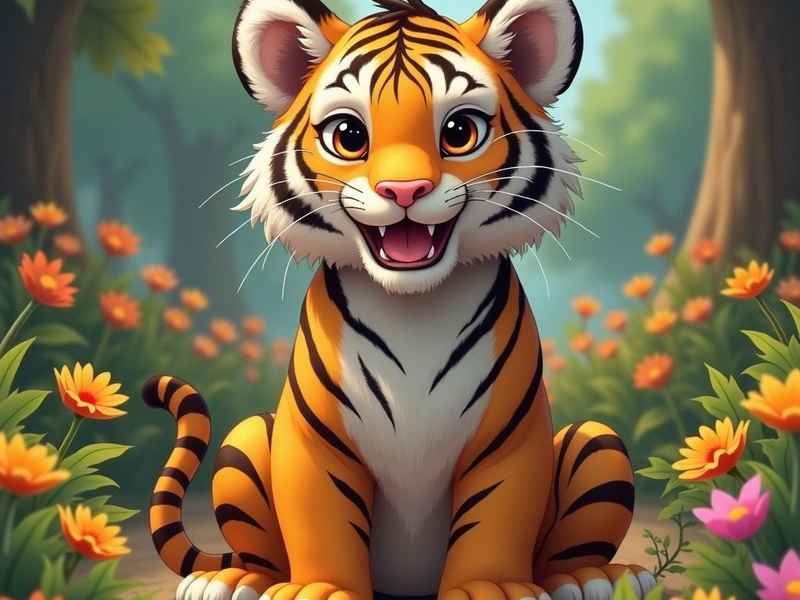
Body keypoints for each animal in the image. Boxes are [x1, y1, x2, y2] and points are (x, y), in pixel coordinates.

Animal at [142, 0, 656, 599]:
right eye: (348, 135)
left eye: (459, 131)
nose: (404, 191)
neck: (415, 309)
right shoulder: (315, 441)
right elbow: (318, 513)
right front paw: (321, 589)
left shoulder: (509, 439)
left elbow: (497, 515)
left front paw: (488, 587)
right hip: (247, 437)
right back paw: (237, 580)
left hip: (598, 443)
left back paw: (589, 577)